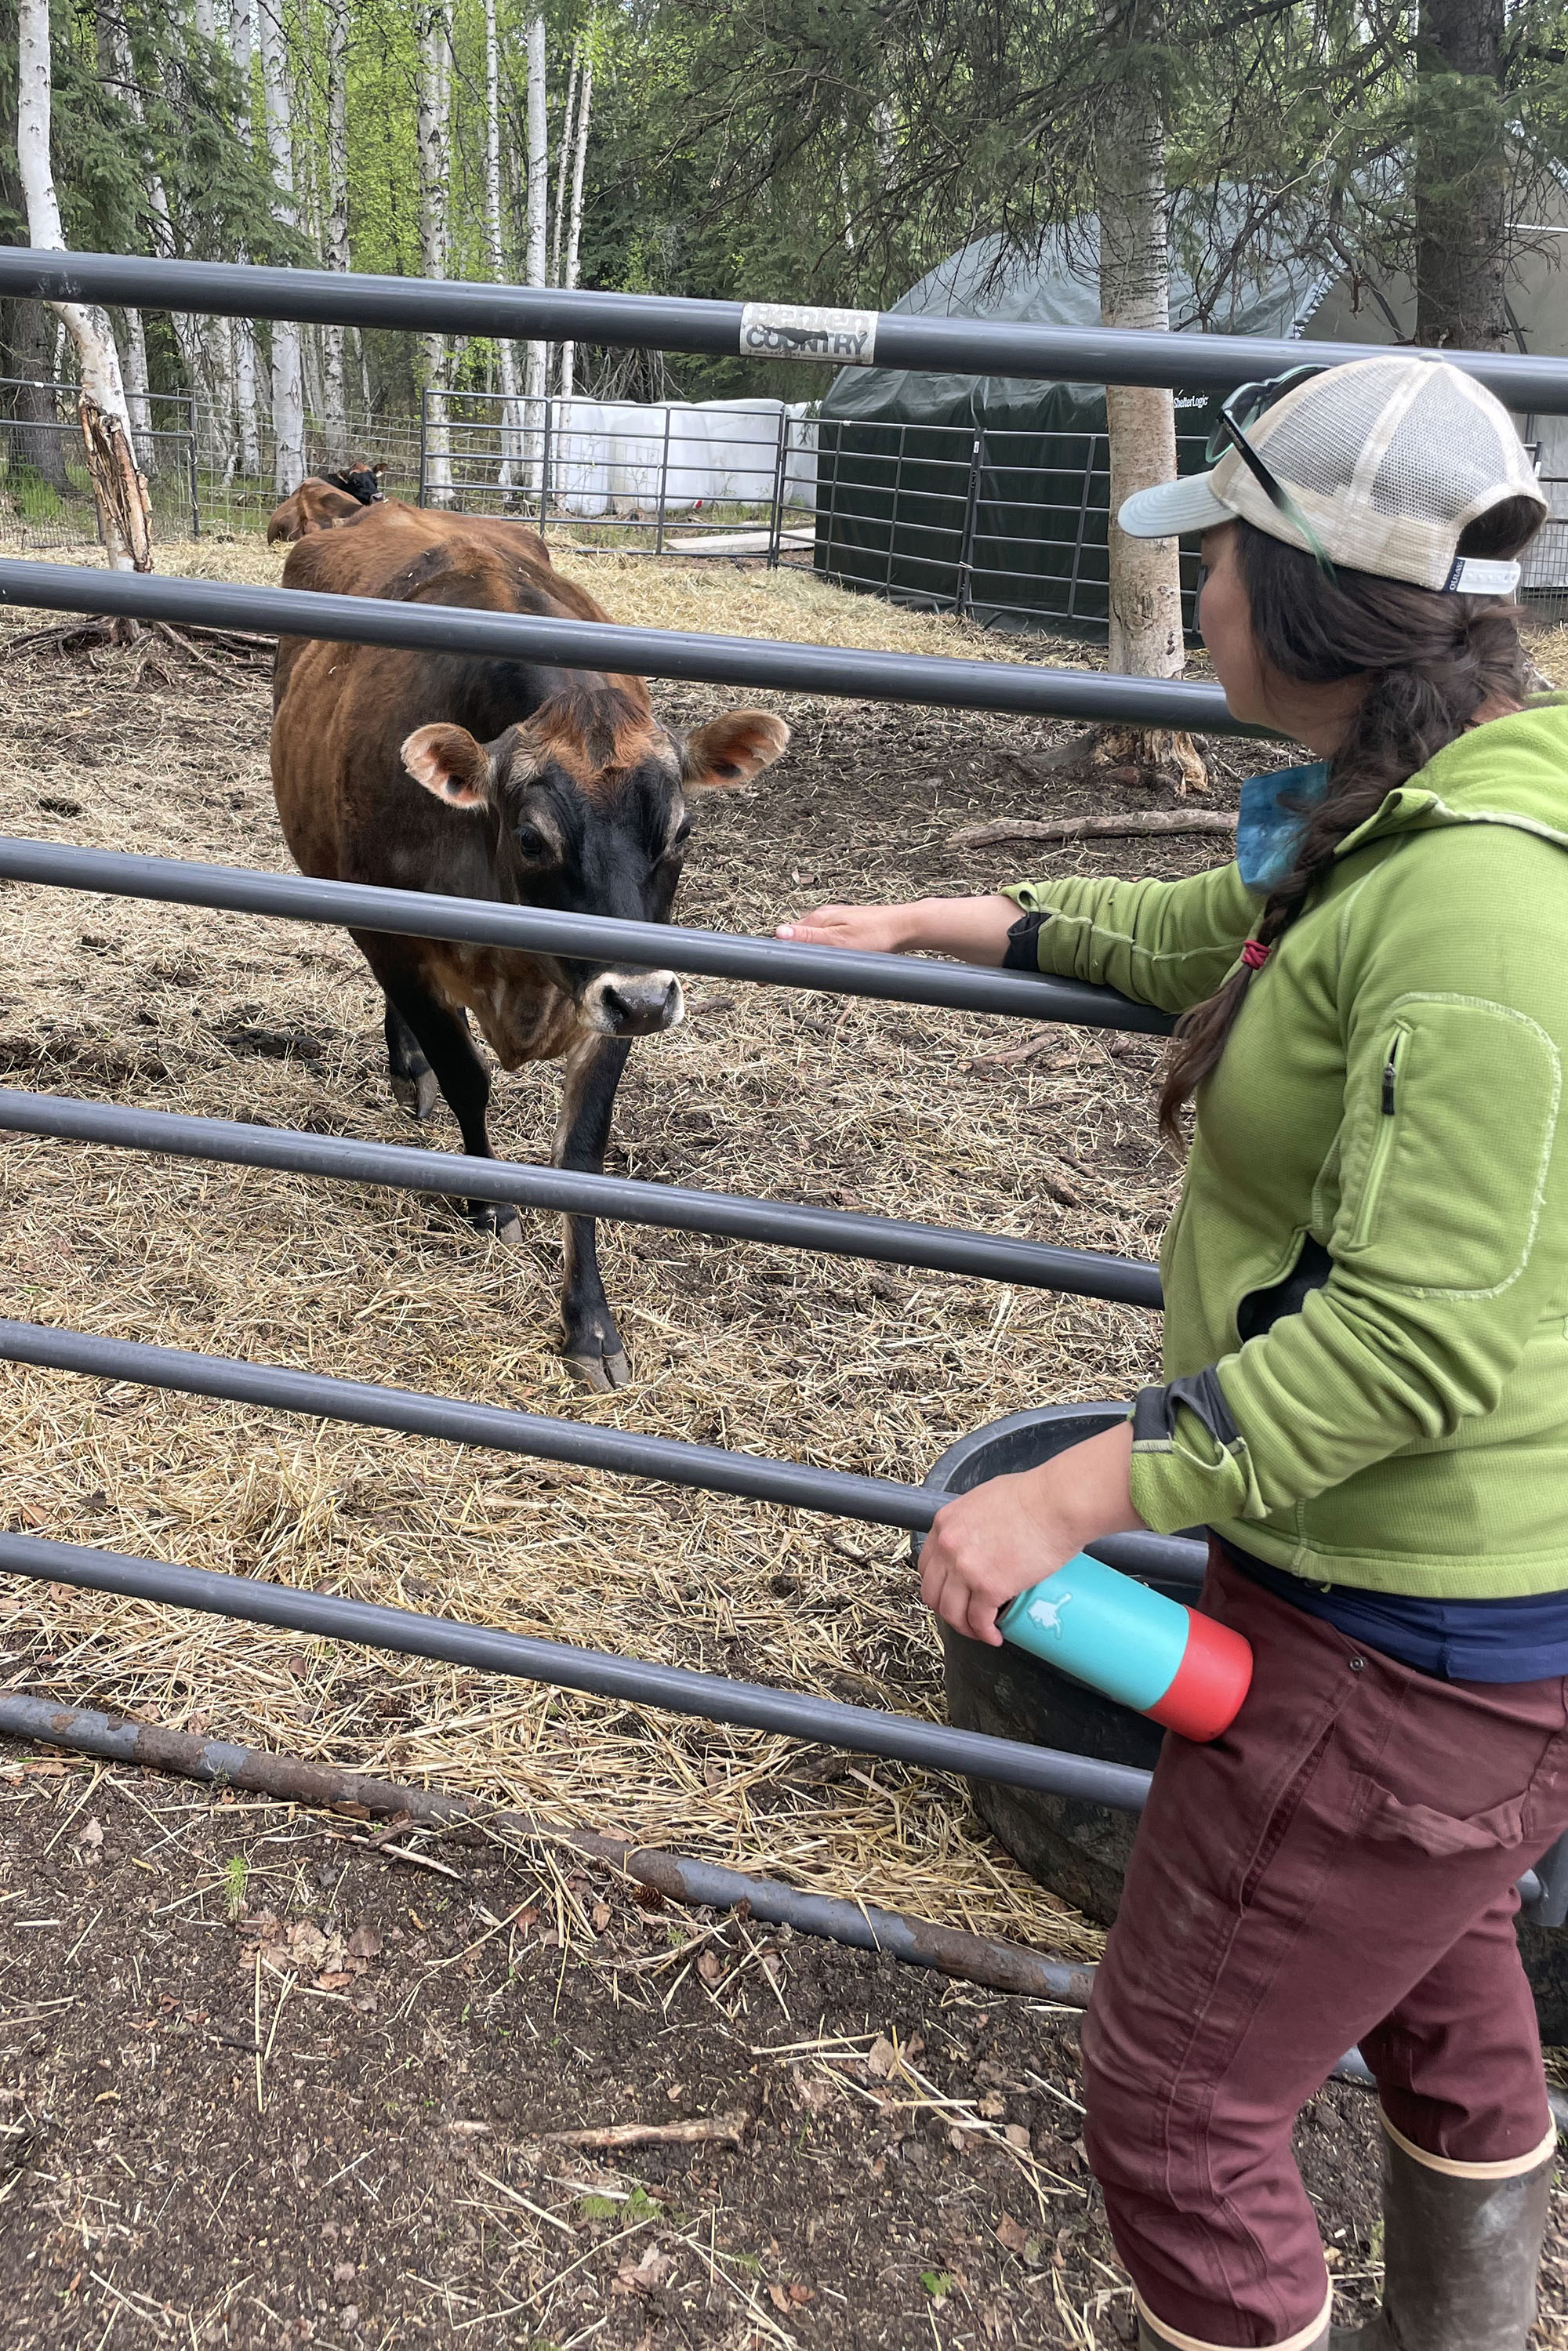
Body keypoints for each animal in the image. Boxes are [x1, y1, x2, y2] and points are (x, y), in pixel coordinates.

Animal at [269, 502, 790, 1390]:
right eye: (533, 838)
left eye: (681, 831)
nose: (645, 1002)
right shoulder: (399, 939)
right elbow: (466, 1078)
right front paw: (488, 1203)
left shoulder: (609, 999)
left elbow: (582, 1148)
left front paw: (590, 1326)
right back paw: (407, 1070)